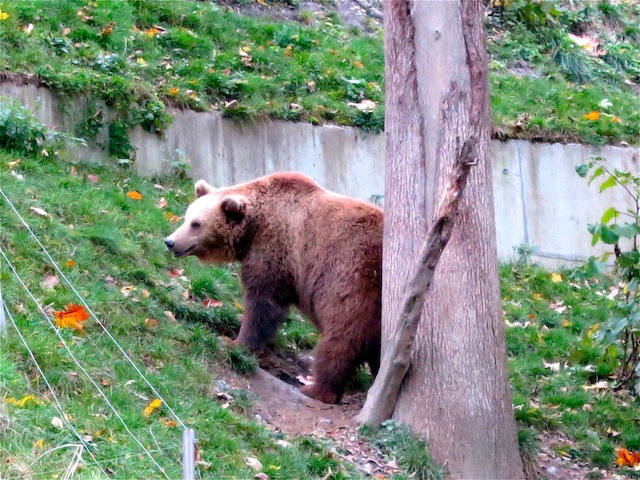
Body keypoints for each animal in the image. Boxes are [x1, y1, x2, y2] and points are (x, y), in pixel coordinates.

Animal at [166, 171, 384, 404]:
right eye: (186, 217)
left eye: (196, 224)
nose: (170, 241)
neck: (252, 228)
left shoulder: (275, 250)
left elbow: (263, 304)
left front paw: (234, 342)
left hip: (353, 280)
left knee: (341, 338)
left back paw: (316, 389)